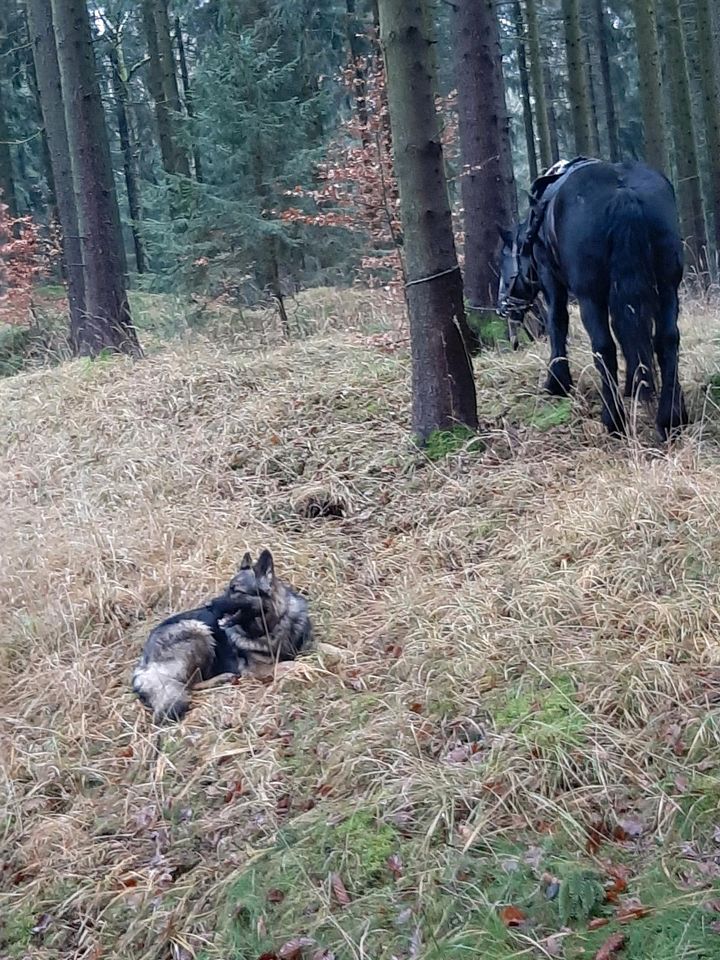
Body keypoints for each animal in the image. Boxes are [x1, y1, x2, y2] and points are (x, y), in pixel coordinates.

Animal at [132, 548, 312, 720]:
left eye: (236, 591)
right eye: (226, 589)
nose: (207, 605)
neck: (271, 627)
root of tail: (144, 664)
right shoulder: (257, 669)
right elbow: (293, 665)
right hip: (198, 629)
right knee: (191, 684)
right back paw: (223, 678)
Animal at [498, 160, 688, 438]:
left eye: (503, 262)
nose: (503, 305)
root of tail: (622, 192)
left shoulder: (549, 277)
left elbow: (557, 322)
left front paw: (557, 381)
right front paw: (636, 383)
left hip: (590, 295)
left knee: (603, 346)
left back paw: (613, 419)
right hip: (667, 285)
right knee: (667, 339)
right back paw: (671, 417)